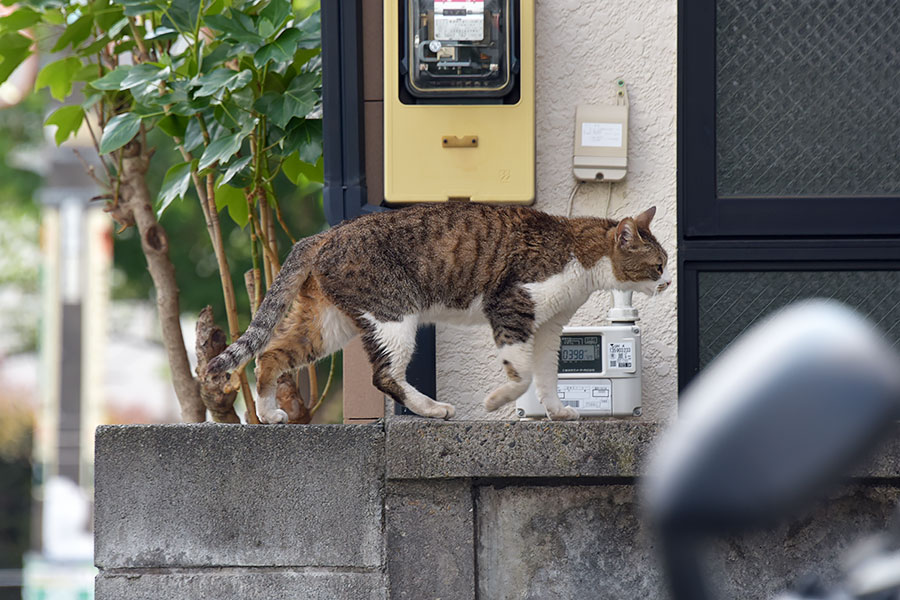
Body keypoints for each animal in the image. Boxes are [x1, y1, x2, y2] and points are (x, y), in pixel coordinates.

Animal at [204, 204, 668, 424]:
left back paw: (267, 413)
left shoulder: (550, 328)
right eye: (659, 265)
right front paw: (496, 400)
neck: (577, 254)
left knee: (270, 356)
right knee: (384, 376)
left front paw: (558, 412)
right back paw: (431, 409)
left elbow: (546, 376)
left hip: (326, 325)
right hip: (392, 313)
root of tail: (325, 234)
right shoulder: (511, 306)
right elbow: (521, 376)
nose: (667, 284)